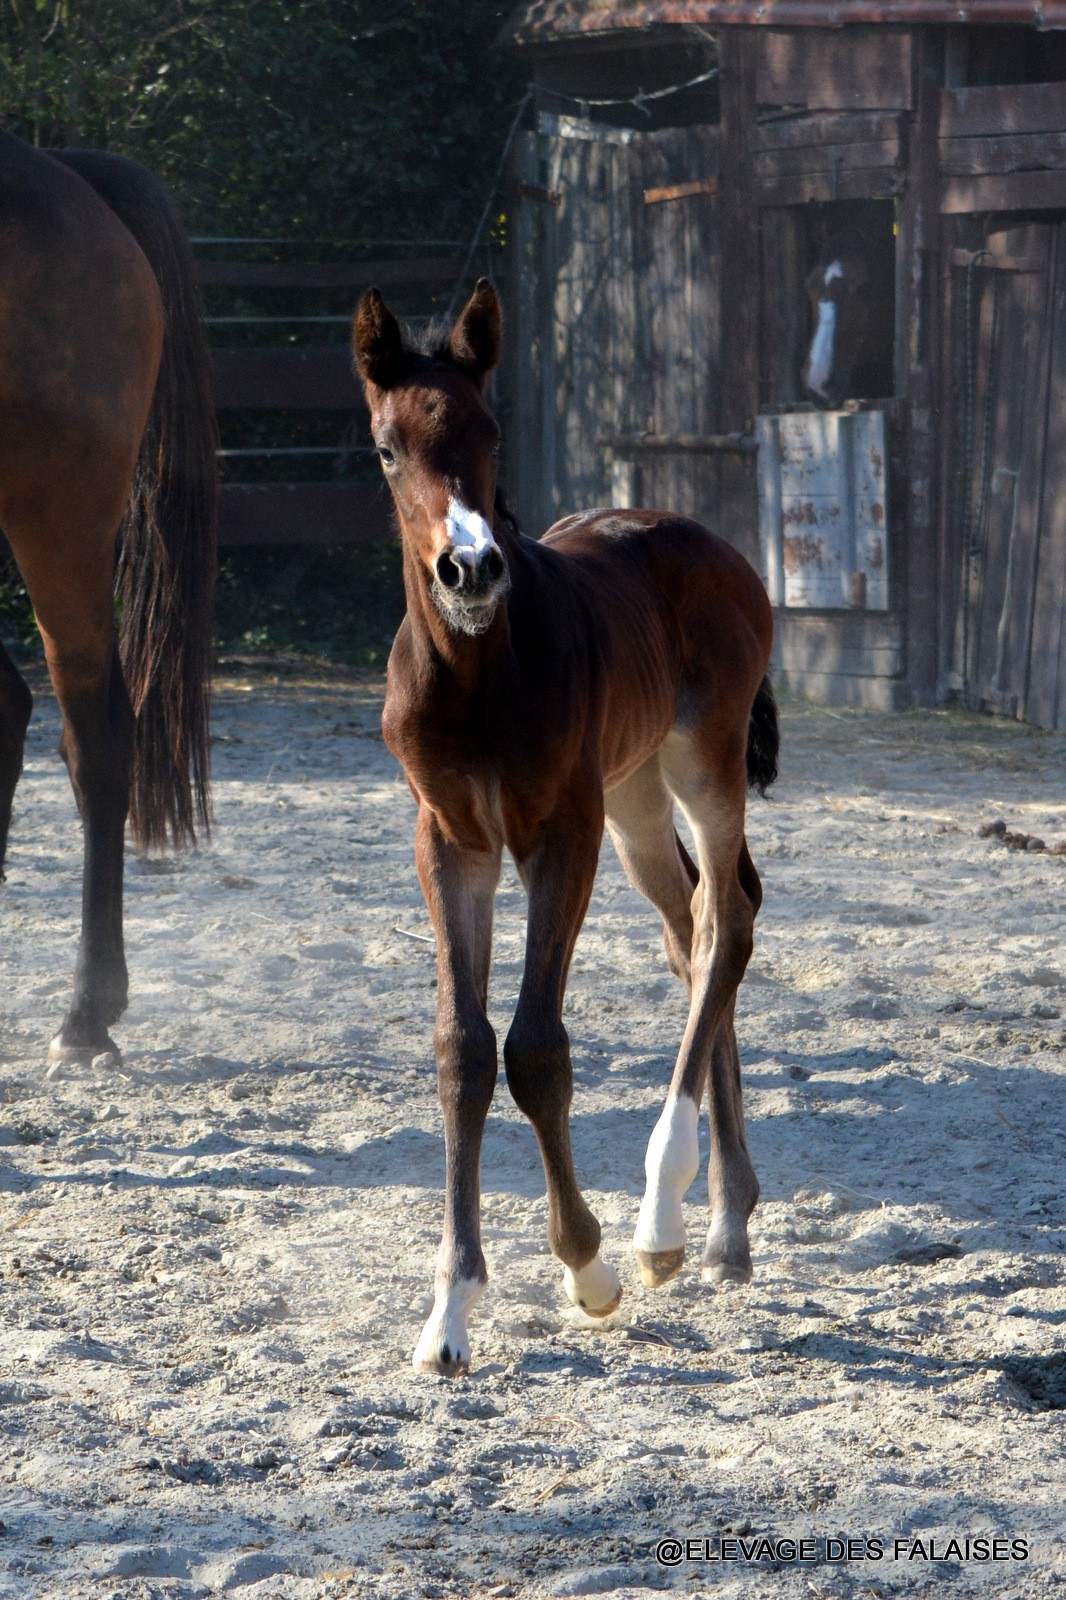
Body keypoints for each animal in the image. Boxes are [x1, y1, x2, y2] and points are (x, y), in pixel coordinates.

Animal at [352, 278, 777, 1376]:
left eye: (490, 428)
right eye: (387, 446)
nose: (469, 568)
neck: (475, 676)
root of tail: (707, 539)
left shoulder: (560, 830)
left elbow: (537, 1046)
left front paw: (588, 1265)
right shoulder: (449, 838)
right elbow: (462, 1050)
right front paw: (449, 1313)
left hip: (700, 762)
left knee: (727, 923)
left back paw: (664, 1219)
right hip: (634, 796)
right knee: (691, 929)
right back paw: (726, 1225)